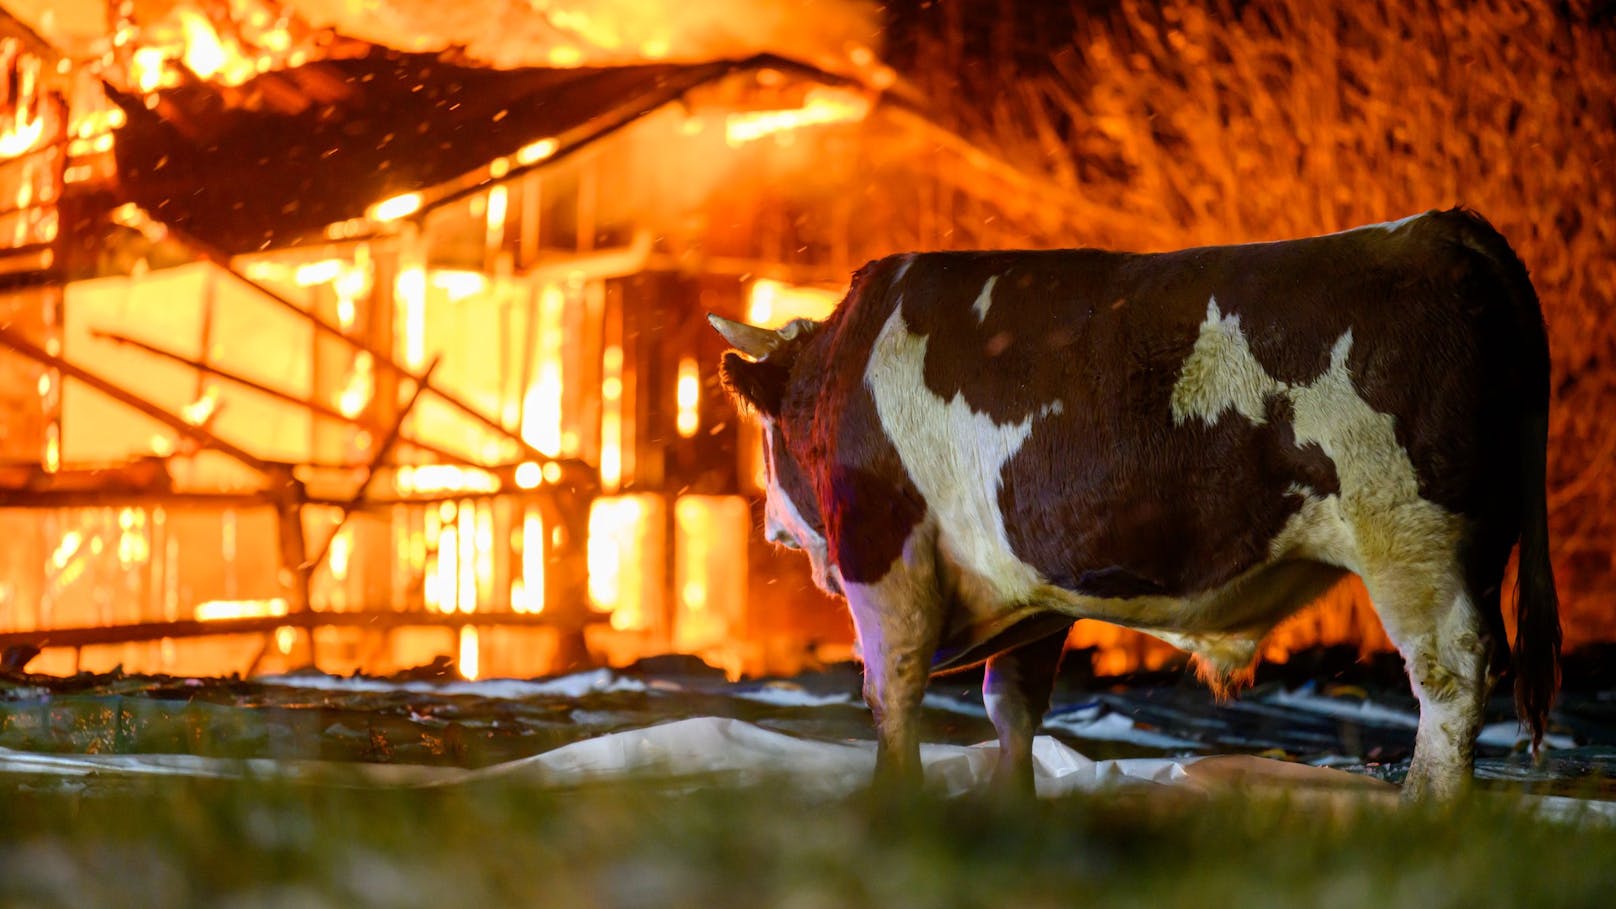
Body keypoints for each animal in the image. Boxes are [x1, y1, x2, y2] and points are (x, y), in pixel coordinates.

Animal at [714, 208, 1557, 795]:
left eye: (767, 432)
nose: (770, 527)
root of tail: (1440, 228)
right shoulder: (1033, 591)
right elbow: (1012, 706)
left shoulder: (889, 555)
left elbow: (892, 692)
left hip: (1412, 538)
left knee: (1450, 678)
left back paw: (1425, 809)